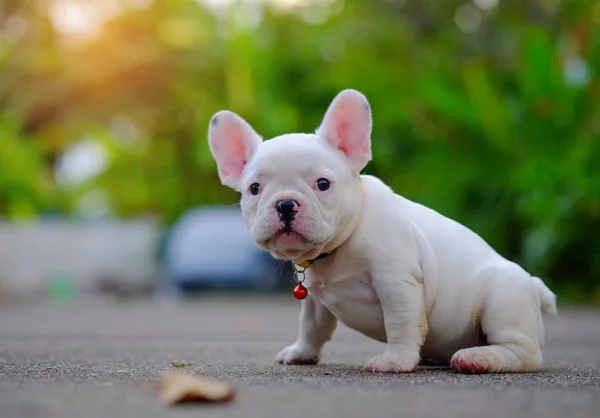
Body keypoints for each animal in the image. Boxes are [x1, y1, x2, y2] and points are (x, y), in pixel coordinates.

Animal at [207, 87, 556, 372]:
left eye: (323, 184)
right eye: (254, 188)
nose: (285, 204)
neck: (340, 245)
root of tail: (534, 285)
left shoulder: (396, 282)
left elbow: (400, 324)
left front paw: (395, 361)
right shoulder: (316, 301)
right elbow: (311, 327)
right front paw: (301, 352)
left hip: (502, 300)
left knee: (523, 352)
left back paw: (479, 358)